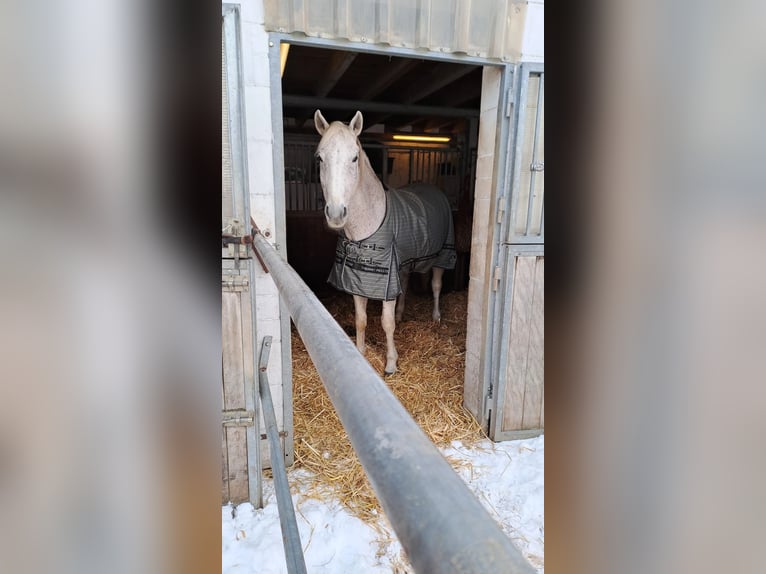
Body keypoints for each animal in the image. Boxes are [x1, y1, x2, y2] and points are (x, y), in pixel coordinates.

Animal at [316, 109, 460, 376]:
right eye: (320, 158)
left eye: (354, 158)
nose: (336, 214)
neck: (366, 225)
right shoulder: (359, 278)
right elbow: (361, 320)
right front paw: (361, 353)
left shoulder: (385, 281)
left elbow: (386, 322)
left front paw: (391, 363)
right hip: (405, 263)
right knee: (406, 283)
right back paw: (404, 313)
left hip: (442, 255)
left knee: (436, 285)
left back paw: (436, 316)